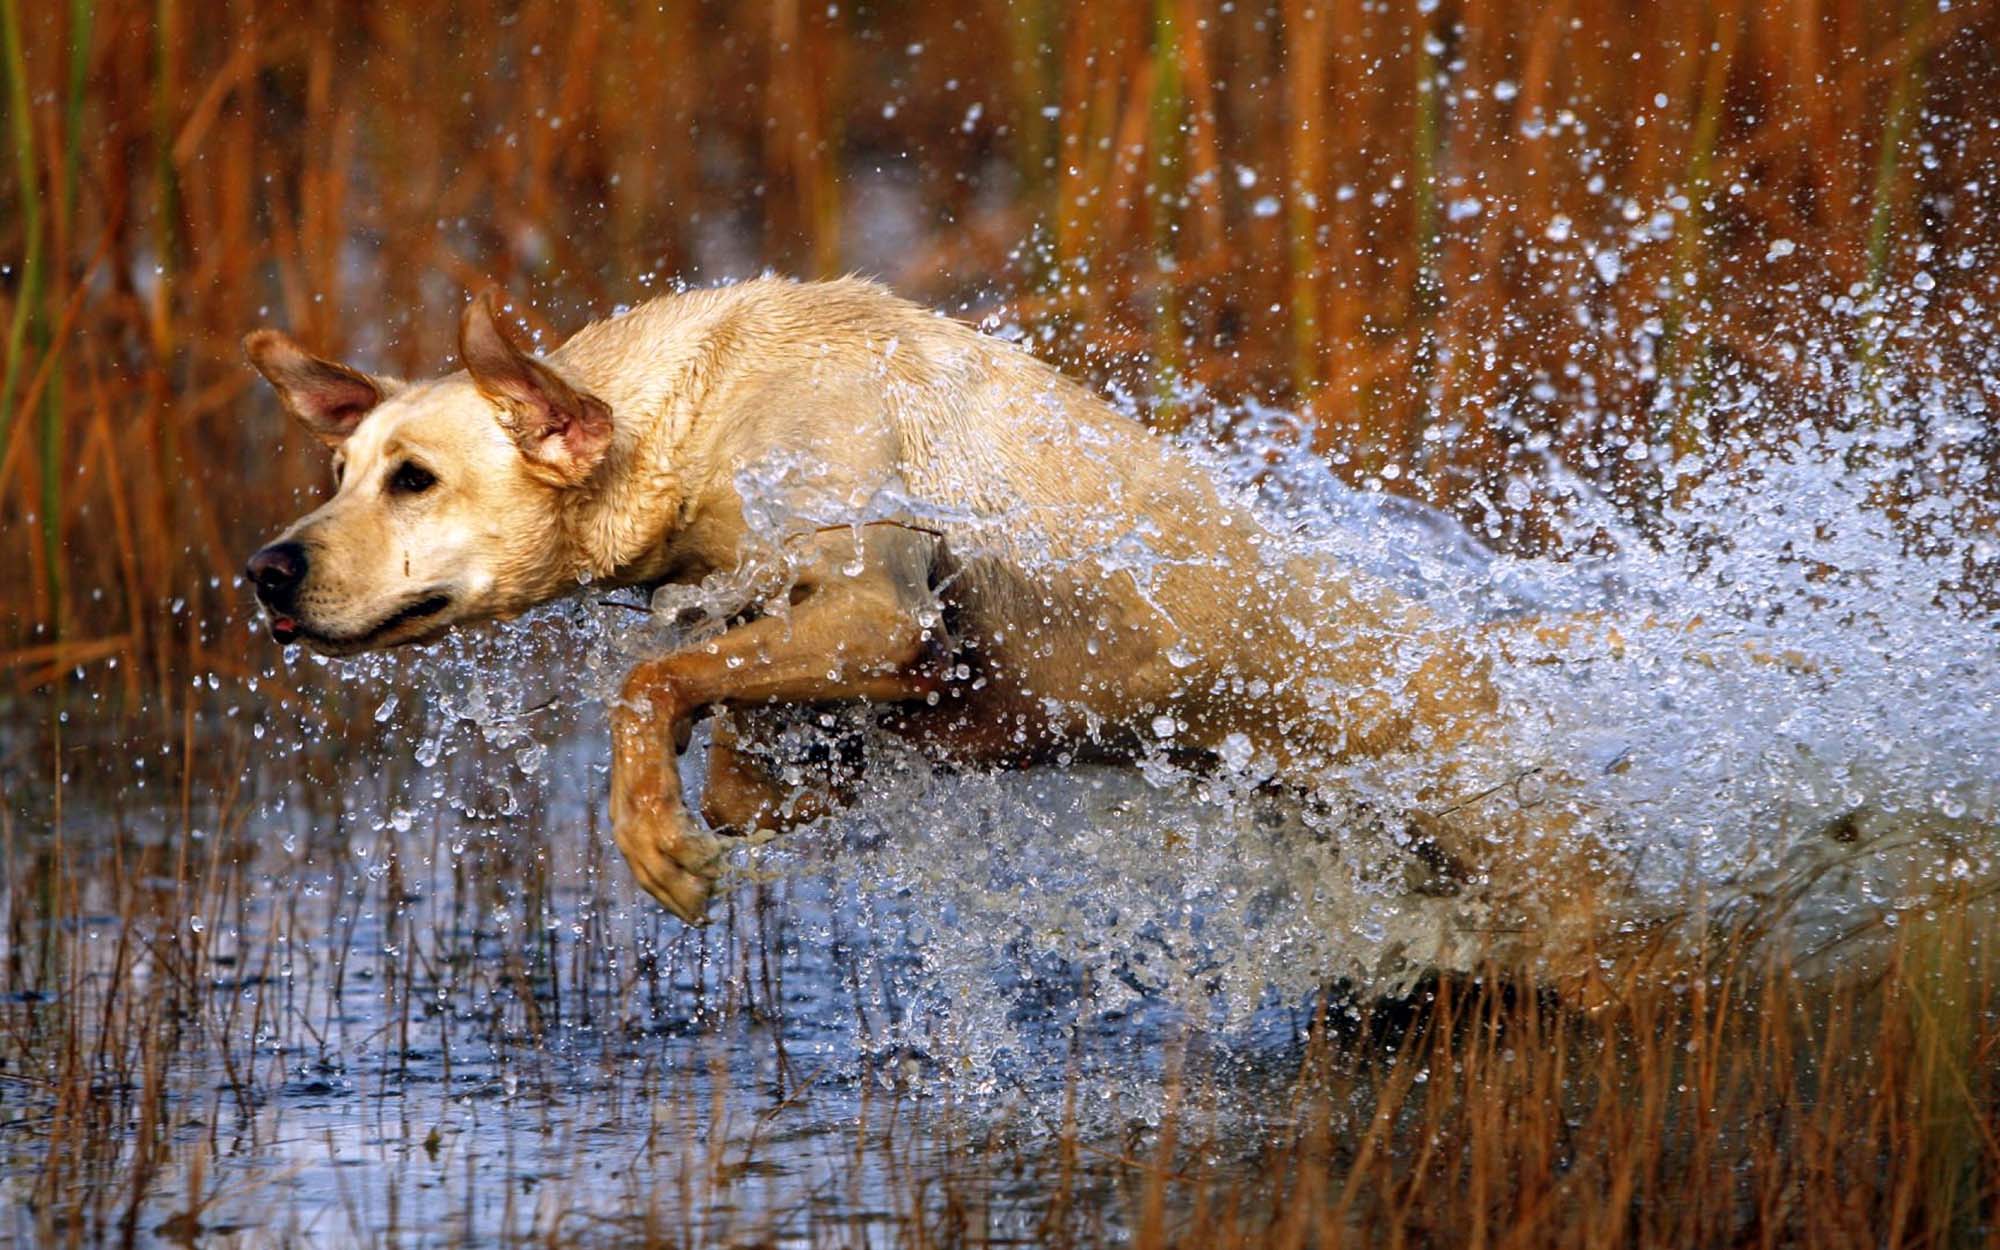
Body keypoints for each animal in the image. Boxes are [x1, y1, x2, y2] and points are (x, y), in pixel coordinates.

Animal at [250, 282, 1592, 940]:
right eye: (338, 471)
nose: (266, 569)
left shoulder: (875, 596)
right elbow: (734, 744)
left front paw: (651, 835)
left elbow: (650, 684)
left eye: (414, 477)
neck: (693, 412)